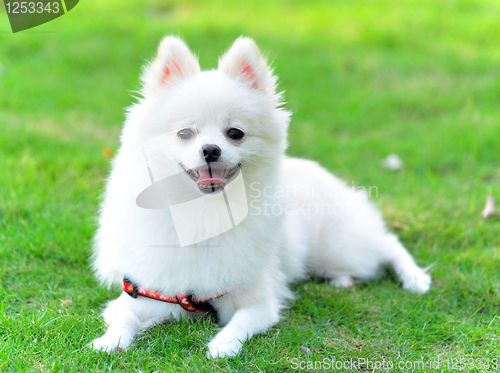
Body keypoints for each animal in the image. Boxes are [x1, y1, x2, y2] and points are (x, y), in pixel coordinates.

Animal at [92, 35, 432, 358]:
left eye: (235, 133)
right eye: (185, 133)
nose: (210, 150)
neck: (207, 212)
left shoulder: (259, 301)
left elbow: (241, 322)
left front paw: (223, 345)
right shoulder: (151, 294)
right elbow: (123, 316)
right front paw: (110, 341)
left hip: (340, 247)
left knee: (388, 244)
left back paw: (415, 278)